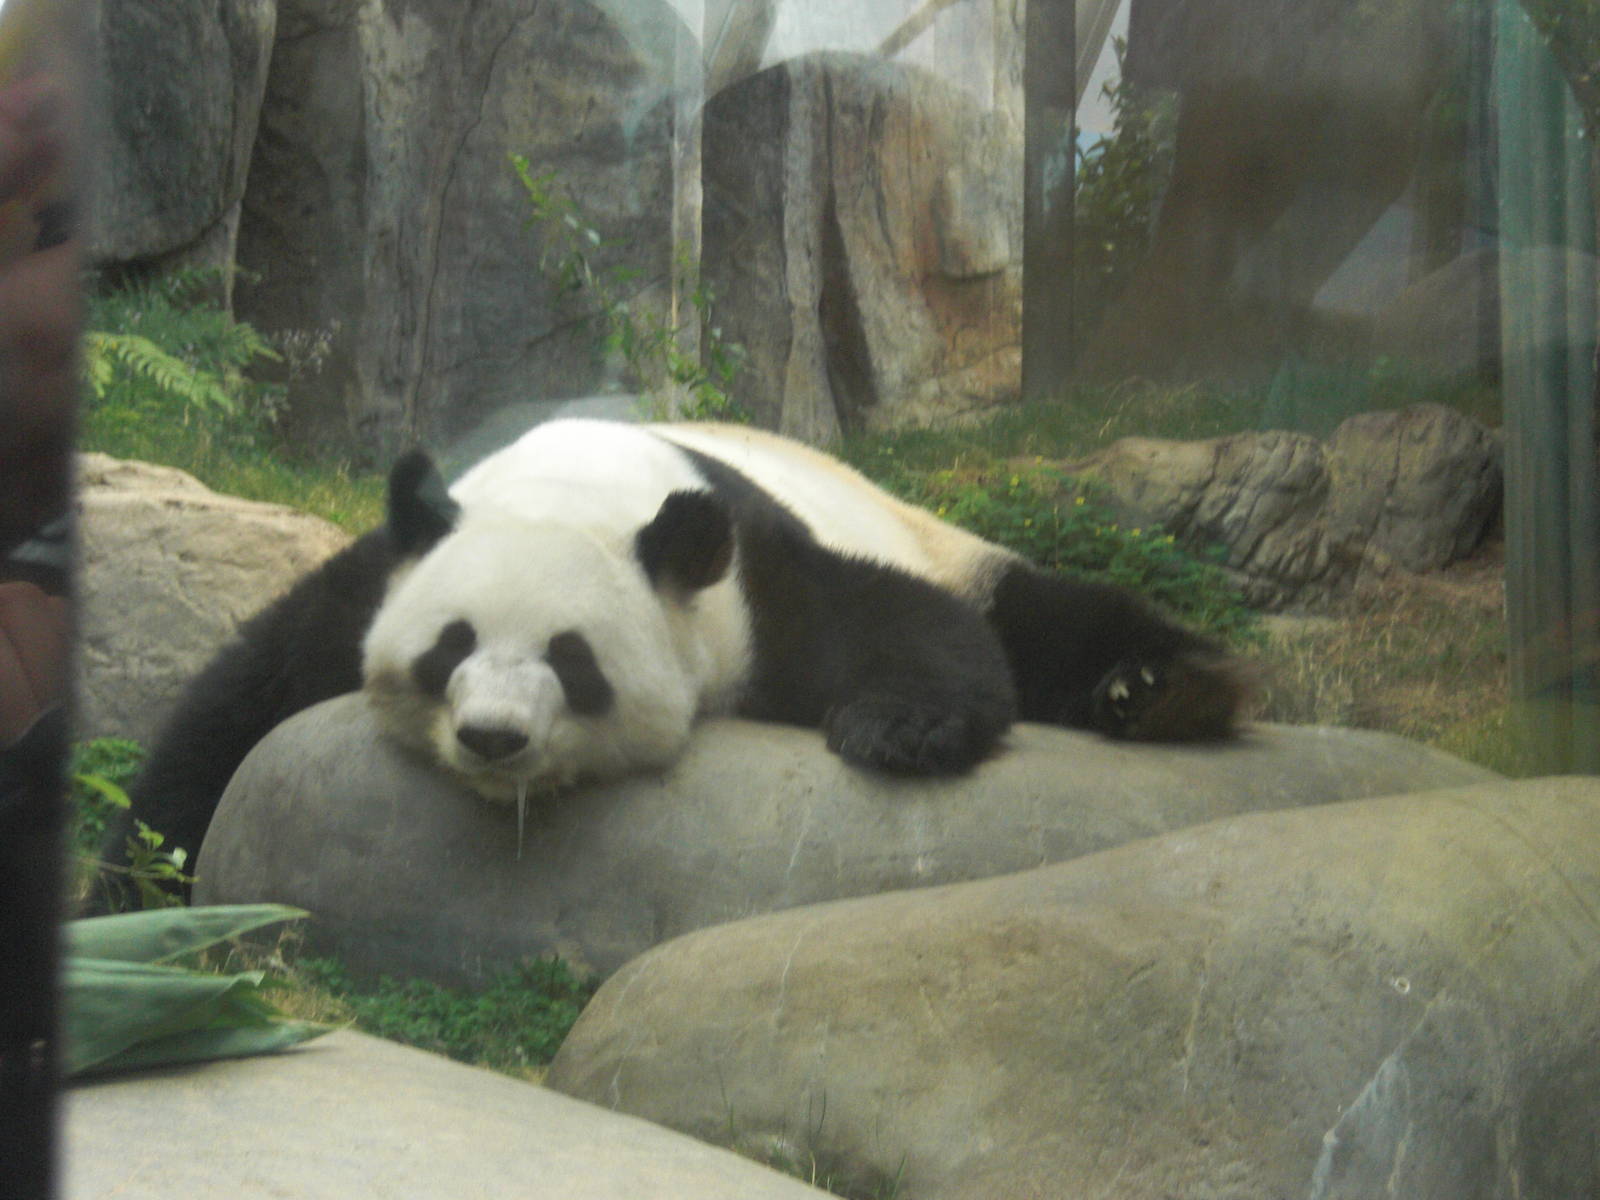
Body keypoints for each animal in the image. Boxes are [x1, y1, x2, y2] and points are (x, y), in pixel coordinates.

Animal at [95, 419, 1249, 904]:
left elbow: (895, 620)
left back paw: (1164, 691)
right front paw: (135, 894)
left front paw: (900, 728)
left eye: (573, 660)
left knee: (1038, 613)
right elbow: (241, 700)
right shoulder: (387, 572)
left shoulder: (745, 577)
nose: (492, 739)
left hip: (942, 536)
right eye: (450, 647)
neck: (571, 488)